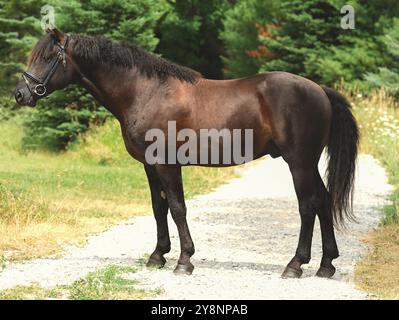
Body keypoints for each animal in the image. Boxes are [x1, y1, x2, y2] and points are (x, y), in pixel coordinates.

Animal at [14, 30, 360, 280]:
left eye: (48, 58)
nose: (21, 94)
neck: (146, 92)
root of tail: (319, 90)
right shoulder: (150, 165)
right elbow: (159, 208)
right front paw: (157, 256)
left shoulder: (168, 164)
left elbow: (178, 208)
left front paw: (184, 261)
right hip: (308, 163)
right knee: (324, 201)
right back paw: (326, 265)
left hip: (299, 162)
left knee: (308, 206)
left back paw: (295, 265)